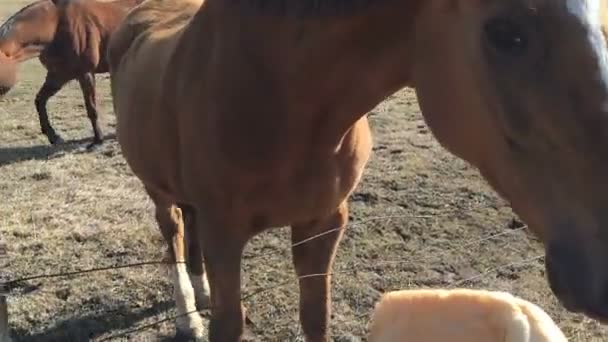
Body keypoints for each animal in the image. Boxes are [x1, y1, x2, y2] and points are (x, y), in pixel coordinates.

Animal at [0, 0, 142, 148]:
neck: (55, 26)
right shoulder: (58, 75)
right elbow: (40, 101)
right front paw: (54, 137)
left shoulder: (84, 73)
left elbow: (91, 109)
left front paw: (98, 140)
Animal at [107, 0, 608, 340]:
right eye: (504, 32)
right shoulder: (225, 233)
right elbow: (228, 326)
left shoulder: (324, 222)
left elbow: (316, 315)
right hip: (157, 189)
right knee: (174, 232)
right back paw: (187, 316)